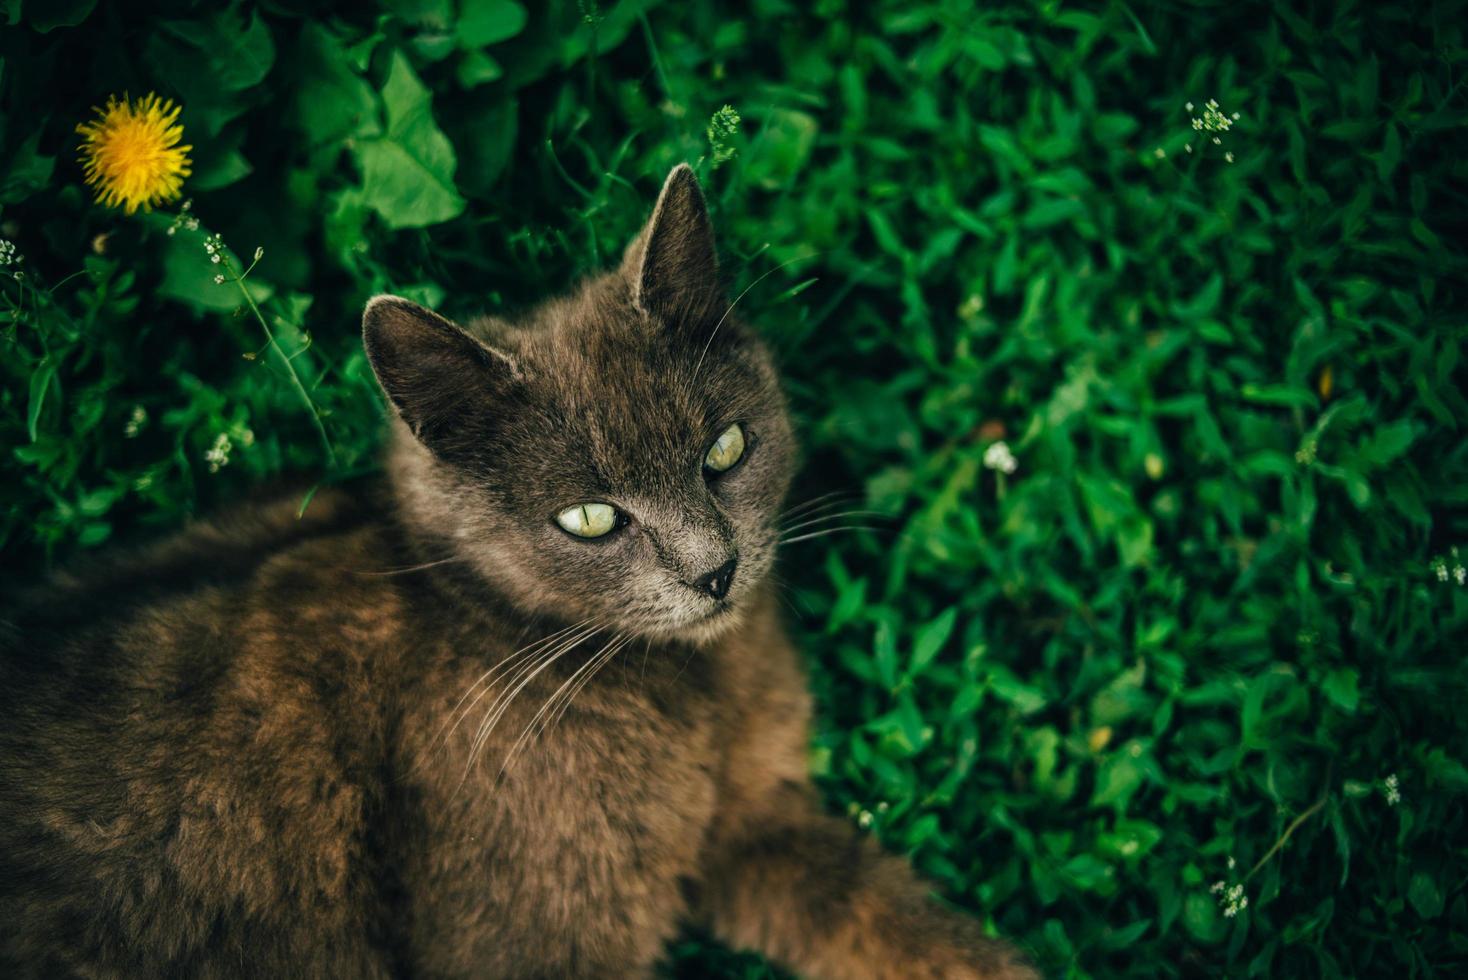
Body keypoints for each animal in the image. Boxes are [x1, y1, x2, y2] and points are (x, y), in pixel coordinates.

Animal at [0, 164, 1039, 974]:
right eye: (589, 518)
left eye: (726, 450)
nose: (715, 571)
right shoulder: (529, 943)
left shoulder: (755, 824)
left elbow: (891, 919)